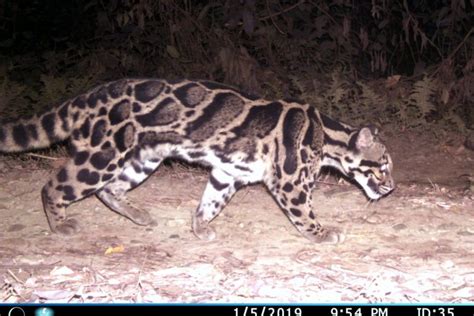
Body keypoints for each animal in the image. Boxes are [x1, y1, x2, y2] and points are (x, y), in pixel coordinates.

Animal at [0, 78, 394, 242]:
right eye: (384, 165)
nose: (392, 187)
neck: (328, 137)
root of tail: (89, 95)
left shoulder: (228, 171)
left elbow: (211, 202)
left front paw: (199, 227)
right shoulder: (289, 179)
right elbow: (304, 212)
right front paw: (321, 233)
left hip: (143, 159)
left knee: (109, 190)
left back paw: (140, 216)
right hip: (104, 153)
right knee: (55, 185)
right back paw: (59, 225)